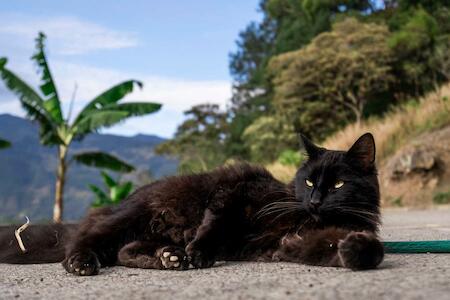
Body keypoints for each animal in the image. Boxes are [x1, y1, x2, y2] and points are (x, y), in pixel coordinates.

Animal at [0, 134, 384, 274]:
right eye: (308, 182)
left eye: (337, 185)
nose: (316, 201)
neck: (307, 218)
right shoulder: (233, 194)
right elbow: (214, 225)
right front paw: (200, 253)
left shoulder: (292, 243)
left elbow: (358, 248)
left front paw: (356, 250)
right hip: (130, 217)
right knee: (90, 240)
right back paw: (81, 262)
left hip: (148, 231)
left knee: (125, 251)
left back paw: (168, 258)